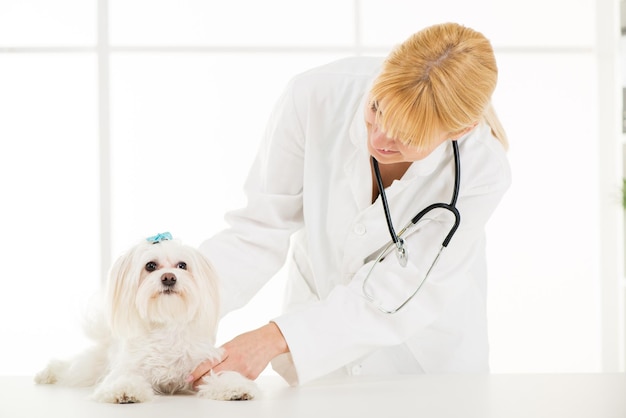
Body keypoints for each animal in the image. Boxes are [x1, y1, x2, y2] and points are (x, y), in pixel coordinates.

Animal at [34, 233, 256, 404]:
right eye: (150, 266)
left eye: (182, 265)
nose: (169, 277)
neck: (166, 326)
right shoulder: (130, 367)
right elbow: (124, 378)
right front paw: (125, 391)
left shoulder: (200, 366)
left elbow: (221, 375)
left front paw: (235, 388)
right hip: (90, 367)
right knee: (69, 368)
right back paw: (46, 374)